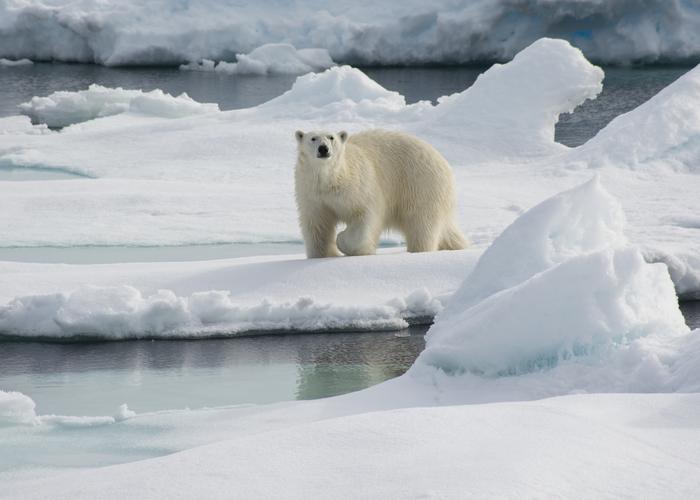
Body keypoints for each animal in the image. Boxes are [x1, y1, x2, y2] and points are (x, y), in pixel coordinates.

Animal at [292, 129, 468, 258]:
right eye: (313, 138)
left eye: (331, 137)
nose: (323, 148)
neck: (330, 180)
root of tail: (444, 163)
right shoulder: (312, 195)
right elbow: (317, 224)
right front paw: (323, 254)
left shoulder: (358, 186)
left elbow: (364, 217)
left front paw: (343, 241)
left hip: (421, 184)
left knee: (422, 224)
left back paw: (418, 250)